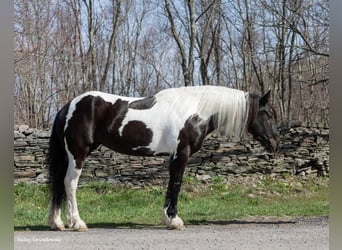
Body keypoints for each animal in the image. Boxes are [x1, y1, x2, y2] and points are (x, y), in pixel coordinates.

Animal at [46, 85, 280, 230]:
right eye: (268, 114)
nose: (275, 143)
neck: (196, 110)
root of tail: (68, 107)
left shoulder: (173, 156)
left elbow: (170, 185)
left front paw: (167, 218)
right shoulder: (181, 154)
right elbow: (176, 184)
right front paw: (174, 220)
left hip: (68, 156)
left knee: (58, 184)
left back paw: (57, 223)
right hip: (78, 154)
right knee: (70, 184)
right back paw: (77, 223)